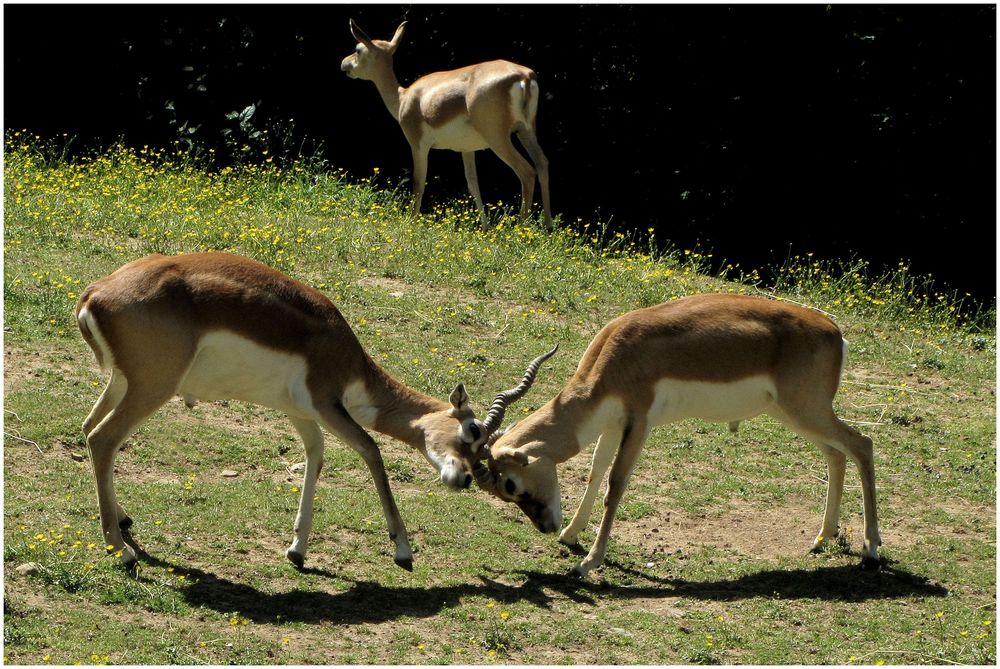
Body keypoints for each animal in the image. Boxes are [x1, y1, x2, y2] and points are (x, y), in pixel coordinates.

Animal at [74, 253, 552, 572]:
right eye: (471, 431)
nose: (463, 479)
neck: (341, 350)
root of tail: (95, 293)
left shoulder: (301, 414)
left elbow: (315, 457)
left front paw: (297, 549)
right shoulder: (327, 404)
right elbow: (372, 451)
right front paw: (403, 549)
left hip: (123, 383)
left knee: (89, 428)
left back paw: (122, 522)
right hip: (153, 387)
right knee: (103, 438)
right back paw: (121, 550)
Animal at [340, 20, 552, 230]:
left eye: (358, 49)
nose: (344, 63)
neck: (403, 98)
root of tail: (524, 76)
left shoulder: (418, 145)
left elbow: (418, 182)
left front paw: (411, 224)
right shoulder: (467, 149)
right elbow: (472, 183)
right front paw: (485, 228)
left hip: (498, 139)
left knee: (526, 172)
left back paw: (521, 228)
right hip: (526, 131)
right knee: (542, 163)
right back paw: (548, 227)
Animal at [470, 294, 884, 576]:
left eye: (509, 484)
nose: (546, 526)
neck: (618, 352)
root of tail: (836, 333)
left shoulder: (639, 421)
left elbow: (615, 484)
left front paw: (588, 562)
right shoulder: (613, 423)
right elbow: (595, 471)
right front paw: (571, 535)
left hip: (806, 411)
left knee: (862, 444)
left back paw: (871, 550)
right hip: (792, 414)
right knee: (837, 454)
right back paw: (821, 539)